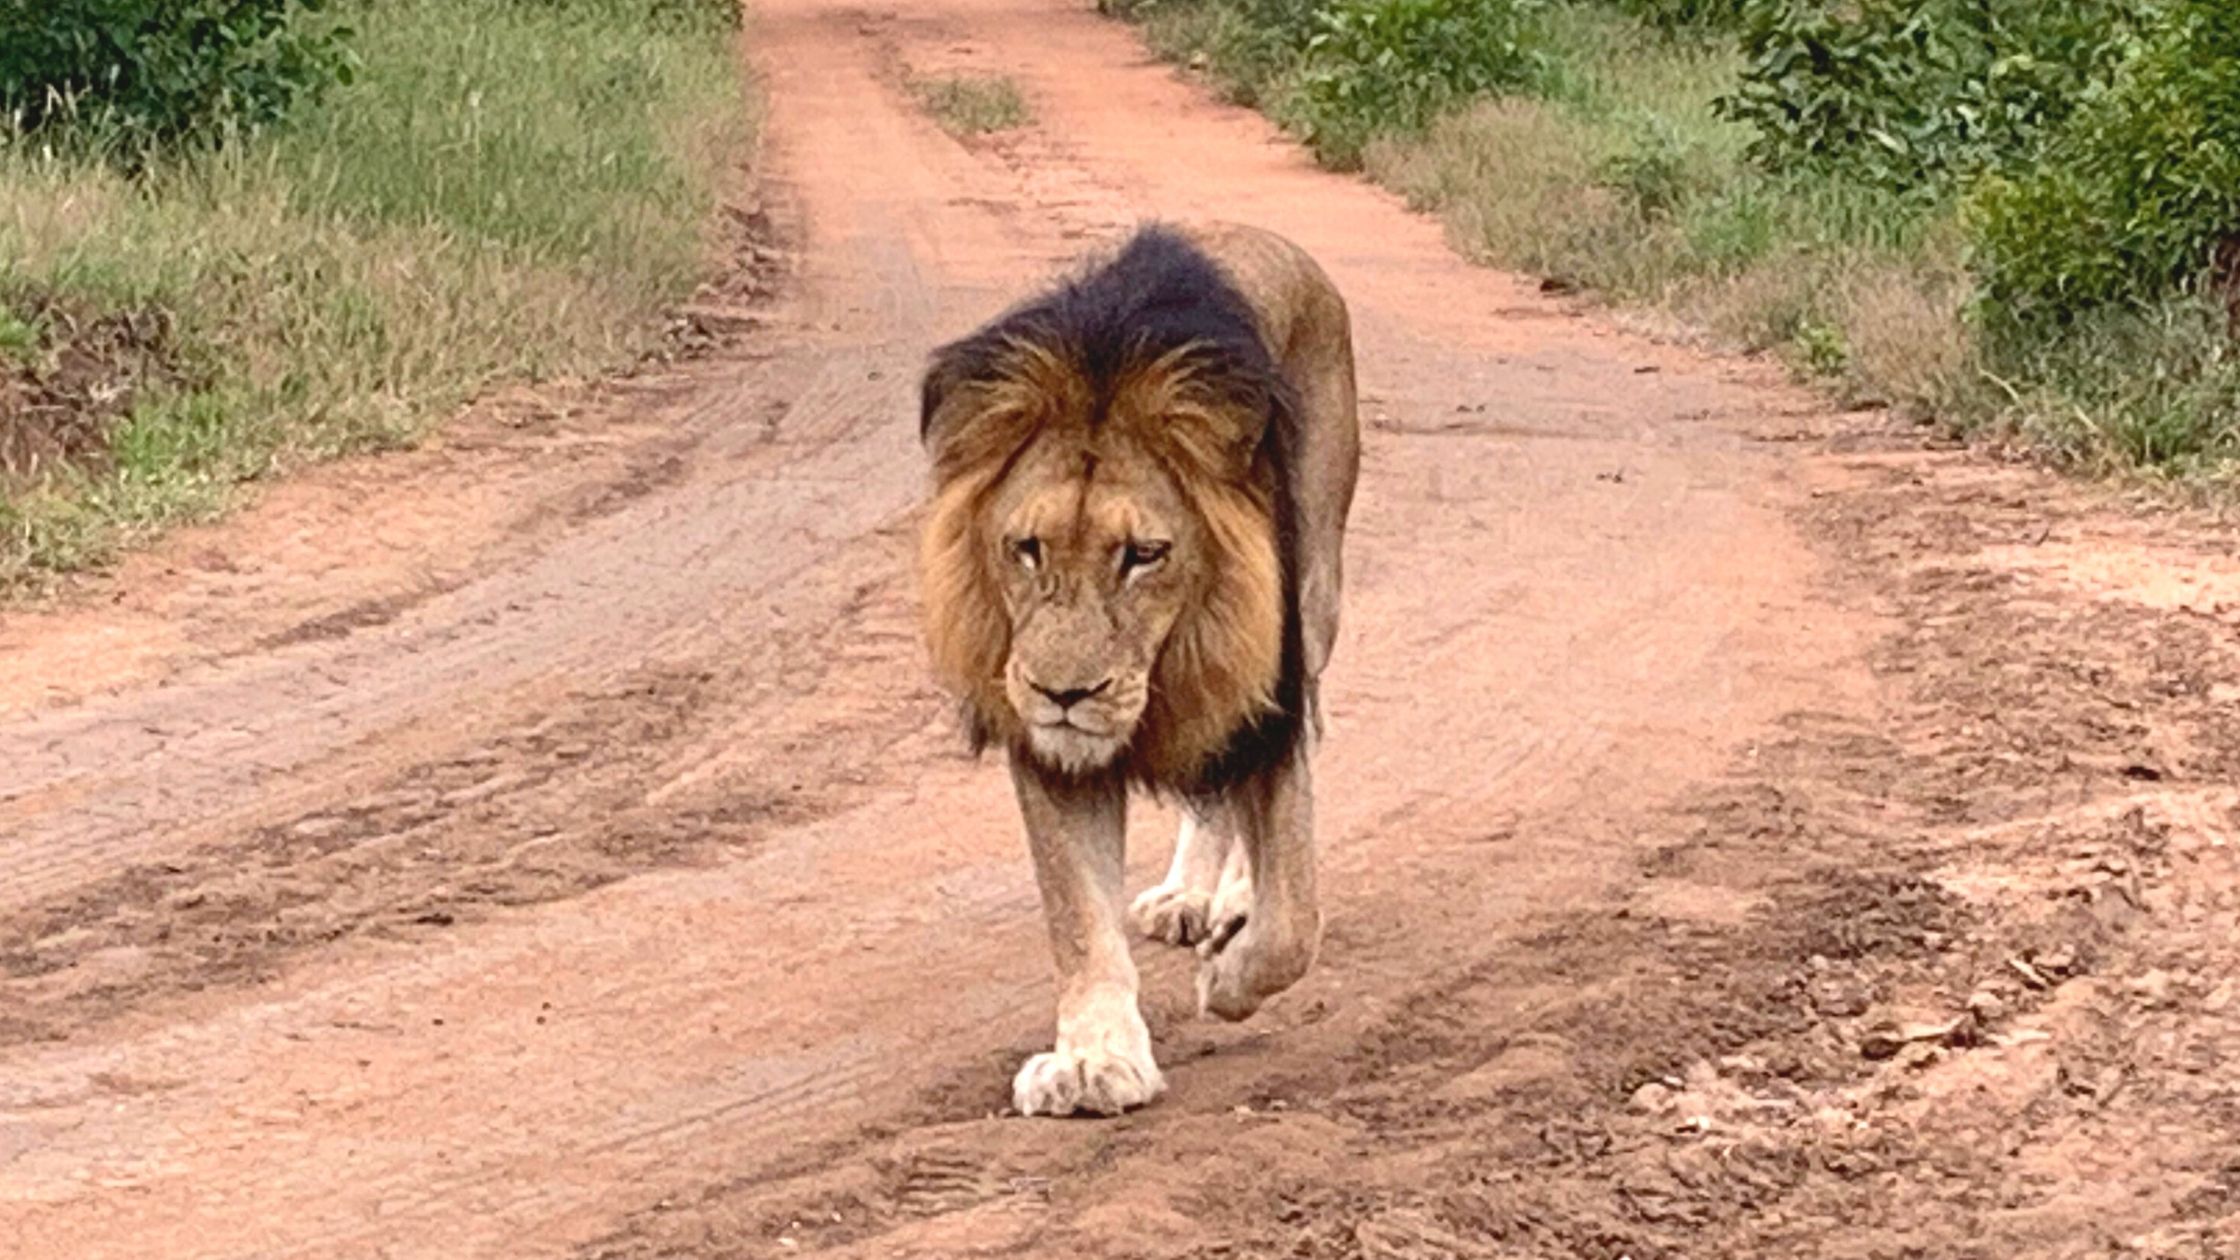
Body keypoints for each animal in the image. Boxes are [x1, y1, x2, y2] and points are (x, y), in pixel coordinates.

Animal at [913, 220, 1361, 1112]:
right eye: (1027, 547)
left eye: (1143, 555)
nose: (1063, 692)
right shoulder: (1051, 750)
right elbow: (1079, 916)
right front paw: (1095, 1059)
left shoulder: (1269, 692)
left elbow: (1294, 924)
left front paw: (1228, 974)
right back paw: (1192, 896)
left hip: (1317, 605)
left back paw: (1232, 902)